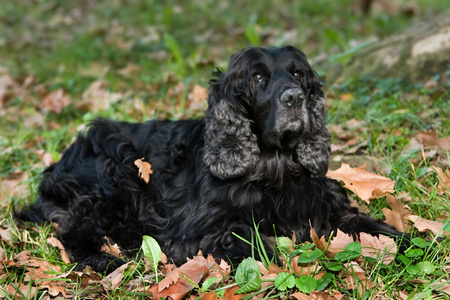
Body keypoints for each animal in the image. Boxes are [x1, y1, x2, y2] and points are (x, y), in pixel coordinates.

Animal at [18, 45, 408, 274]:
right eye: (258, 76)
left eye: (298, 73)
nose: (295, 98)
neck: (274, 166)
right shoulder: (198, 232)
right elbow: (246, 237)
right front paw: (280, 263)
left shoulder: (324, 206)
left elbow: (366, 224)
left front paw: (403, 243)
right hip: (115, 175)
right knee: (73, 230)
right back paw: (106, 258)